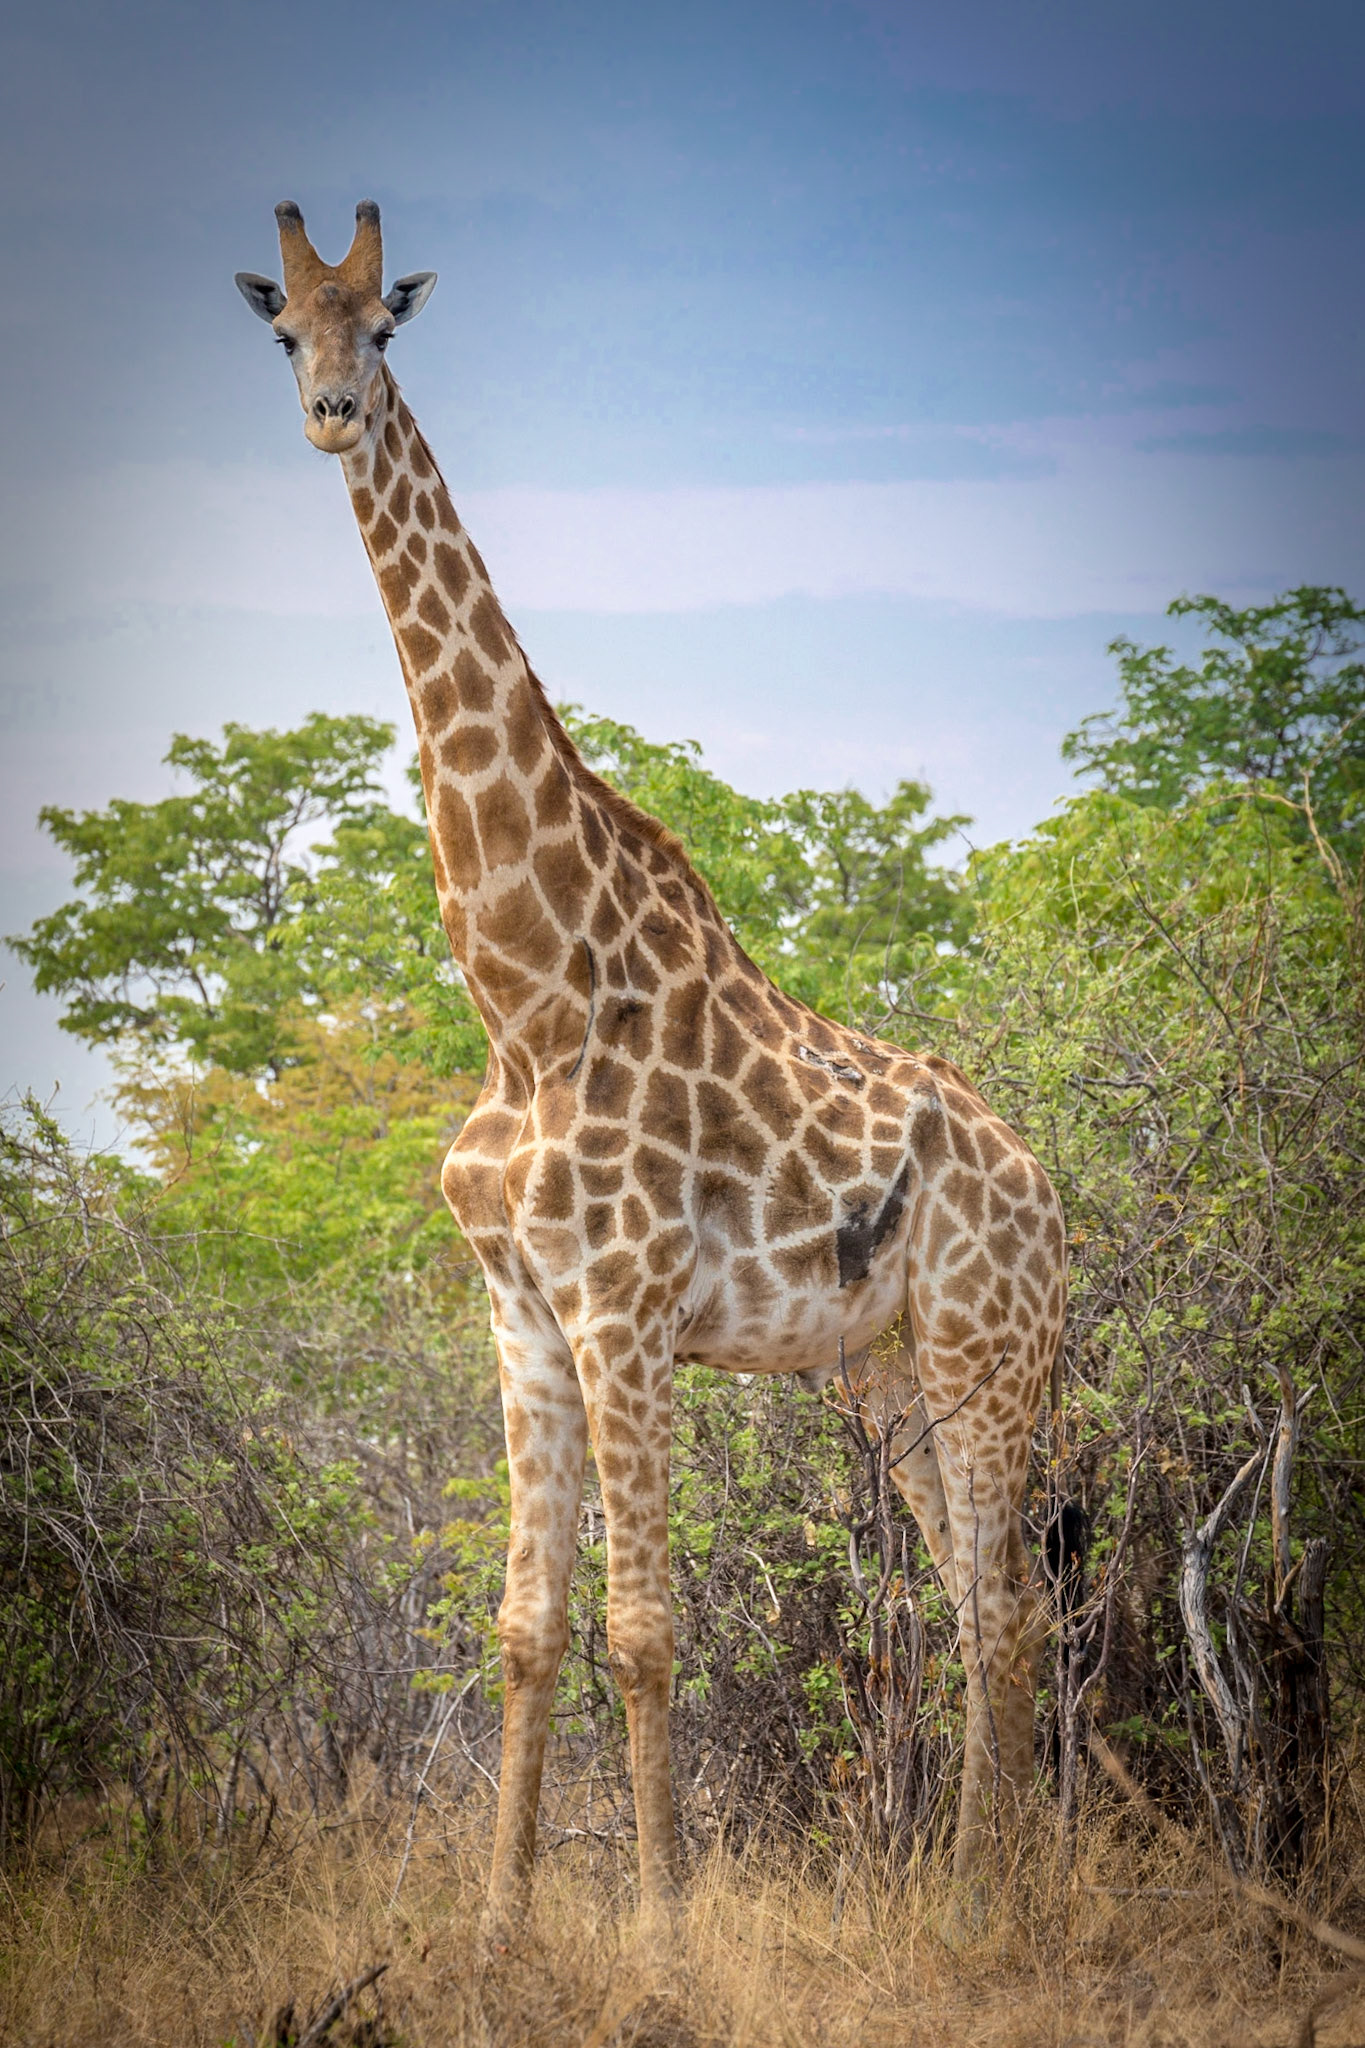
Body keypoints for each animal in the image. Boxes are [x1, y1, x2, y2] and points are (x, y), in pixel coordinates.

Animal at [236, 200, 1068, 1938]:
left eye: (383, 329)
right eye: (282, 327)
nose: (332, 415)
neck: (526, 994)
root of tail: (1051, 1196)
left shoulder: (623, 1312)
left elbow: (643, 1632)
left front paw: (667, 1935)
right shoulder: (520, 1316)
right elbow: (524, 1629)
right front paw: (498, 1929)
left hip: (990, 1349)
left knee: (1014, 1603)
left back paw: (985, 1900)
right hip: (891, 1374)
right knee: (980, 1601)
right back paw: (983, 1885)